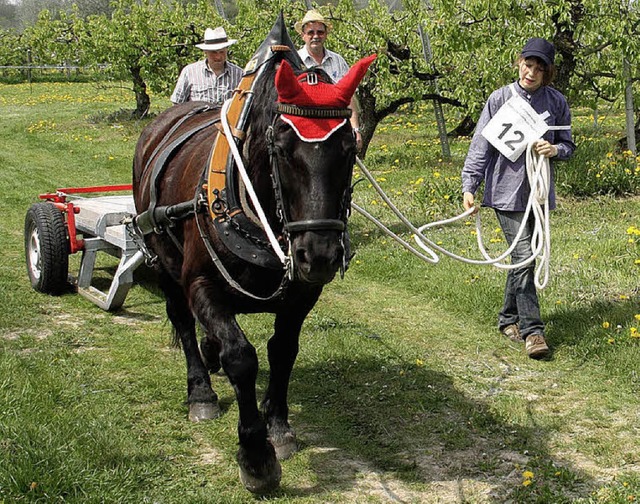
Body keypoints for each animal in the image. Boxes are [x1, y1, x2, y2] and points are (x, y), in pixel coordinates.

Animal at [133, 15, 378, 492]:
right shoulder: (201, 283)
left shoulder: (302, 294)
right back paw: (201, 390)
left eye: (350, 148)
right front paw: (255, 455)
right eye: (281, 148)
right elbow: (241, 358)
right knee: (182, 321)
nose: (319, 255)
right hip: (165, 262)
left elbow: (283, 350)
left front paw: (278, 426)